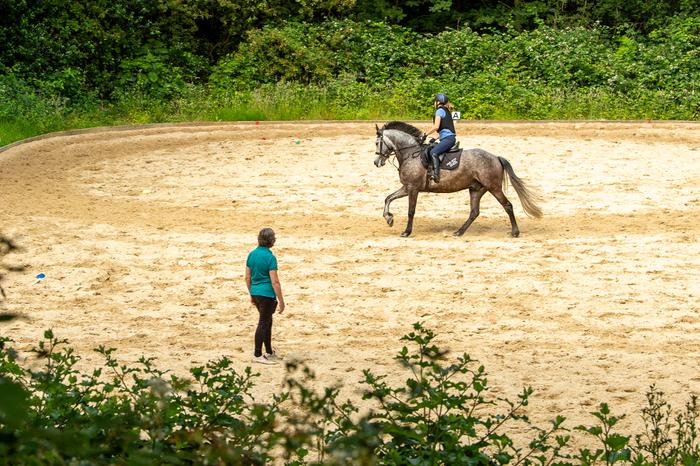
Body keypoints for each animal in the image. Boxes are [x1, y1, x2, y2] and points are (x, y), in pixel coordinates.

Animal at [372, 121, 540, 237]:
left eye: (377, 143)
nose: (376, 162)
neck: (410, 154)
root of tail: (496, 157)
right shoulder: (407, 187)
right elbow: (388, 198)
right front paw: (389, 218)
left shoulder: (413, 188)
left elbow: (410, 211)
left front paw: (406, 232)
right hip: (476, 189)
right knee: (474, 212)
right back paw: (459, 232)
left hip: (494, 187)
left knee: (508, 206)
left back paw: (515, 232)